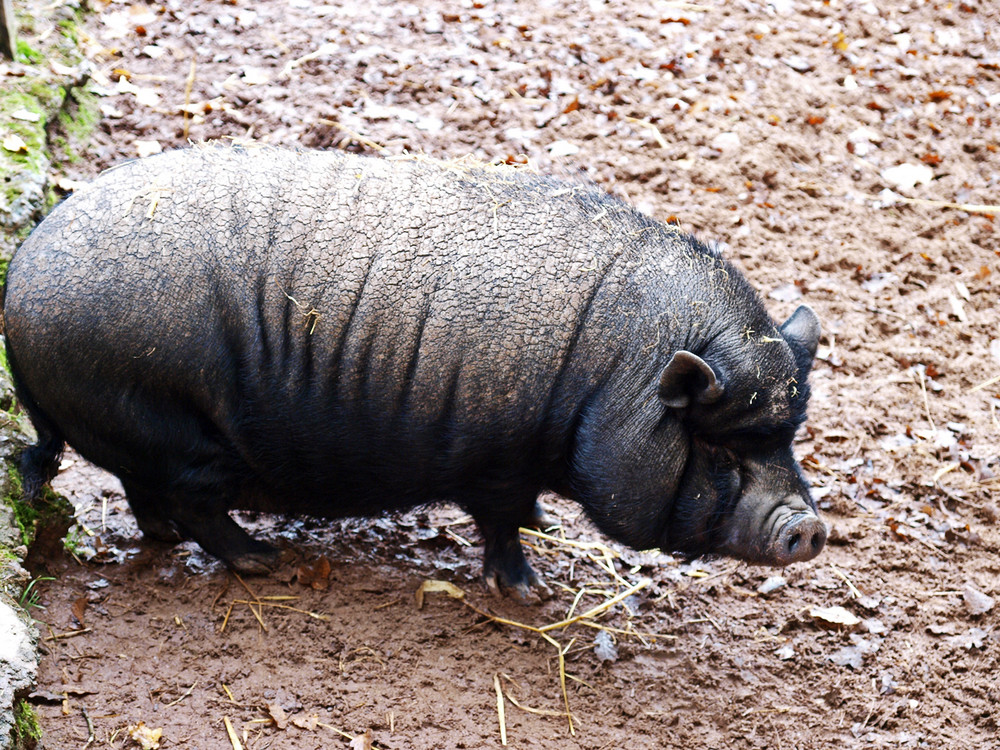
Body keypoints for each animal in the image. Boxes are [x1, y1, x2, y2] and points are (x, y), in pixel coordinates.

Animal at [3, 144, 824, 596]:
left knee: (139, 487)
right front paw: (530, 593)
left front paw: (541, 538)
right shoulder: (495, 456)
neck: (612, 378)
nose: (810, 527)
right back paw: (264, 560)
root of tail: (17, 292)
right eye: (719, 446)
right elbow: (499, 521)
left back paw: (170, 541)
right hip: (175, 427)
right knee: (188, 496)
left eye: (788, 437)